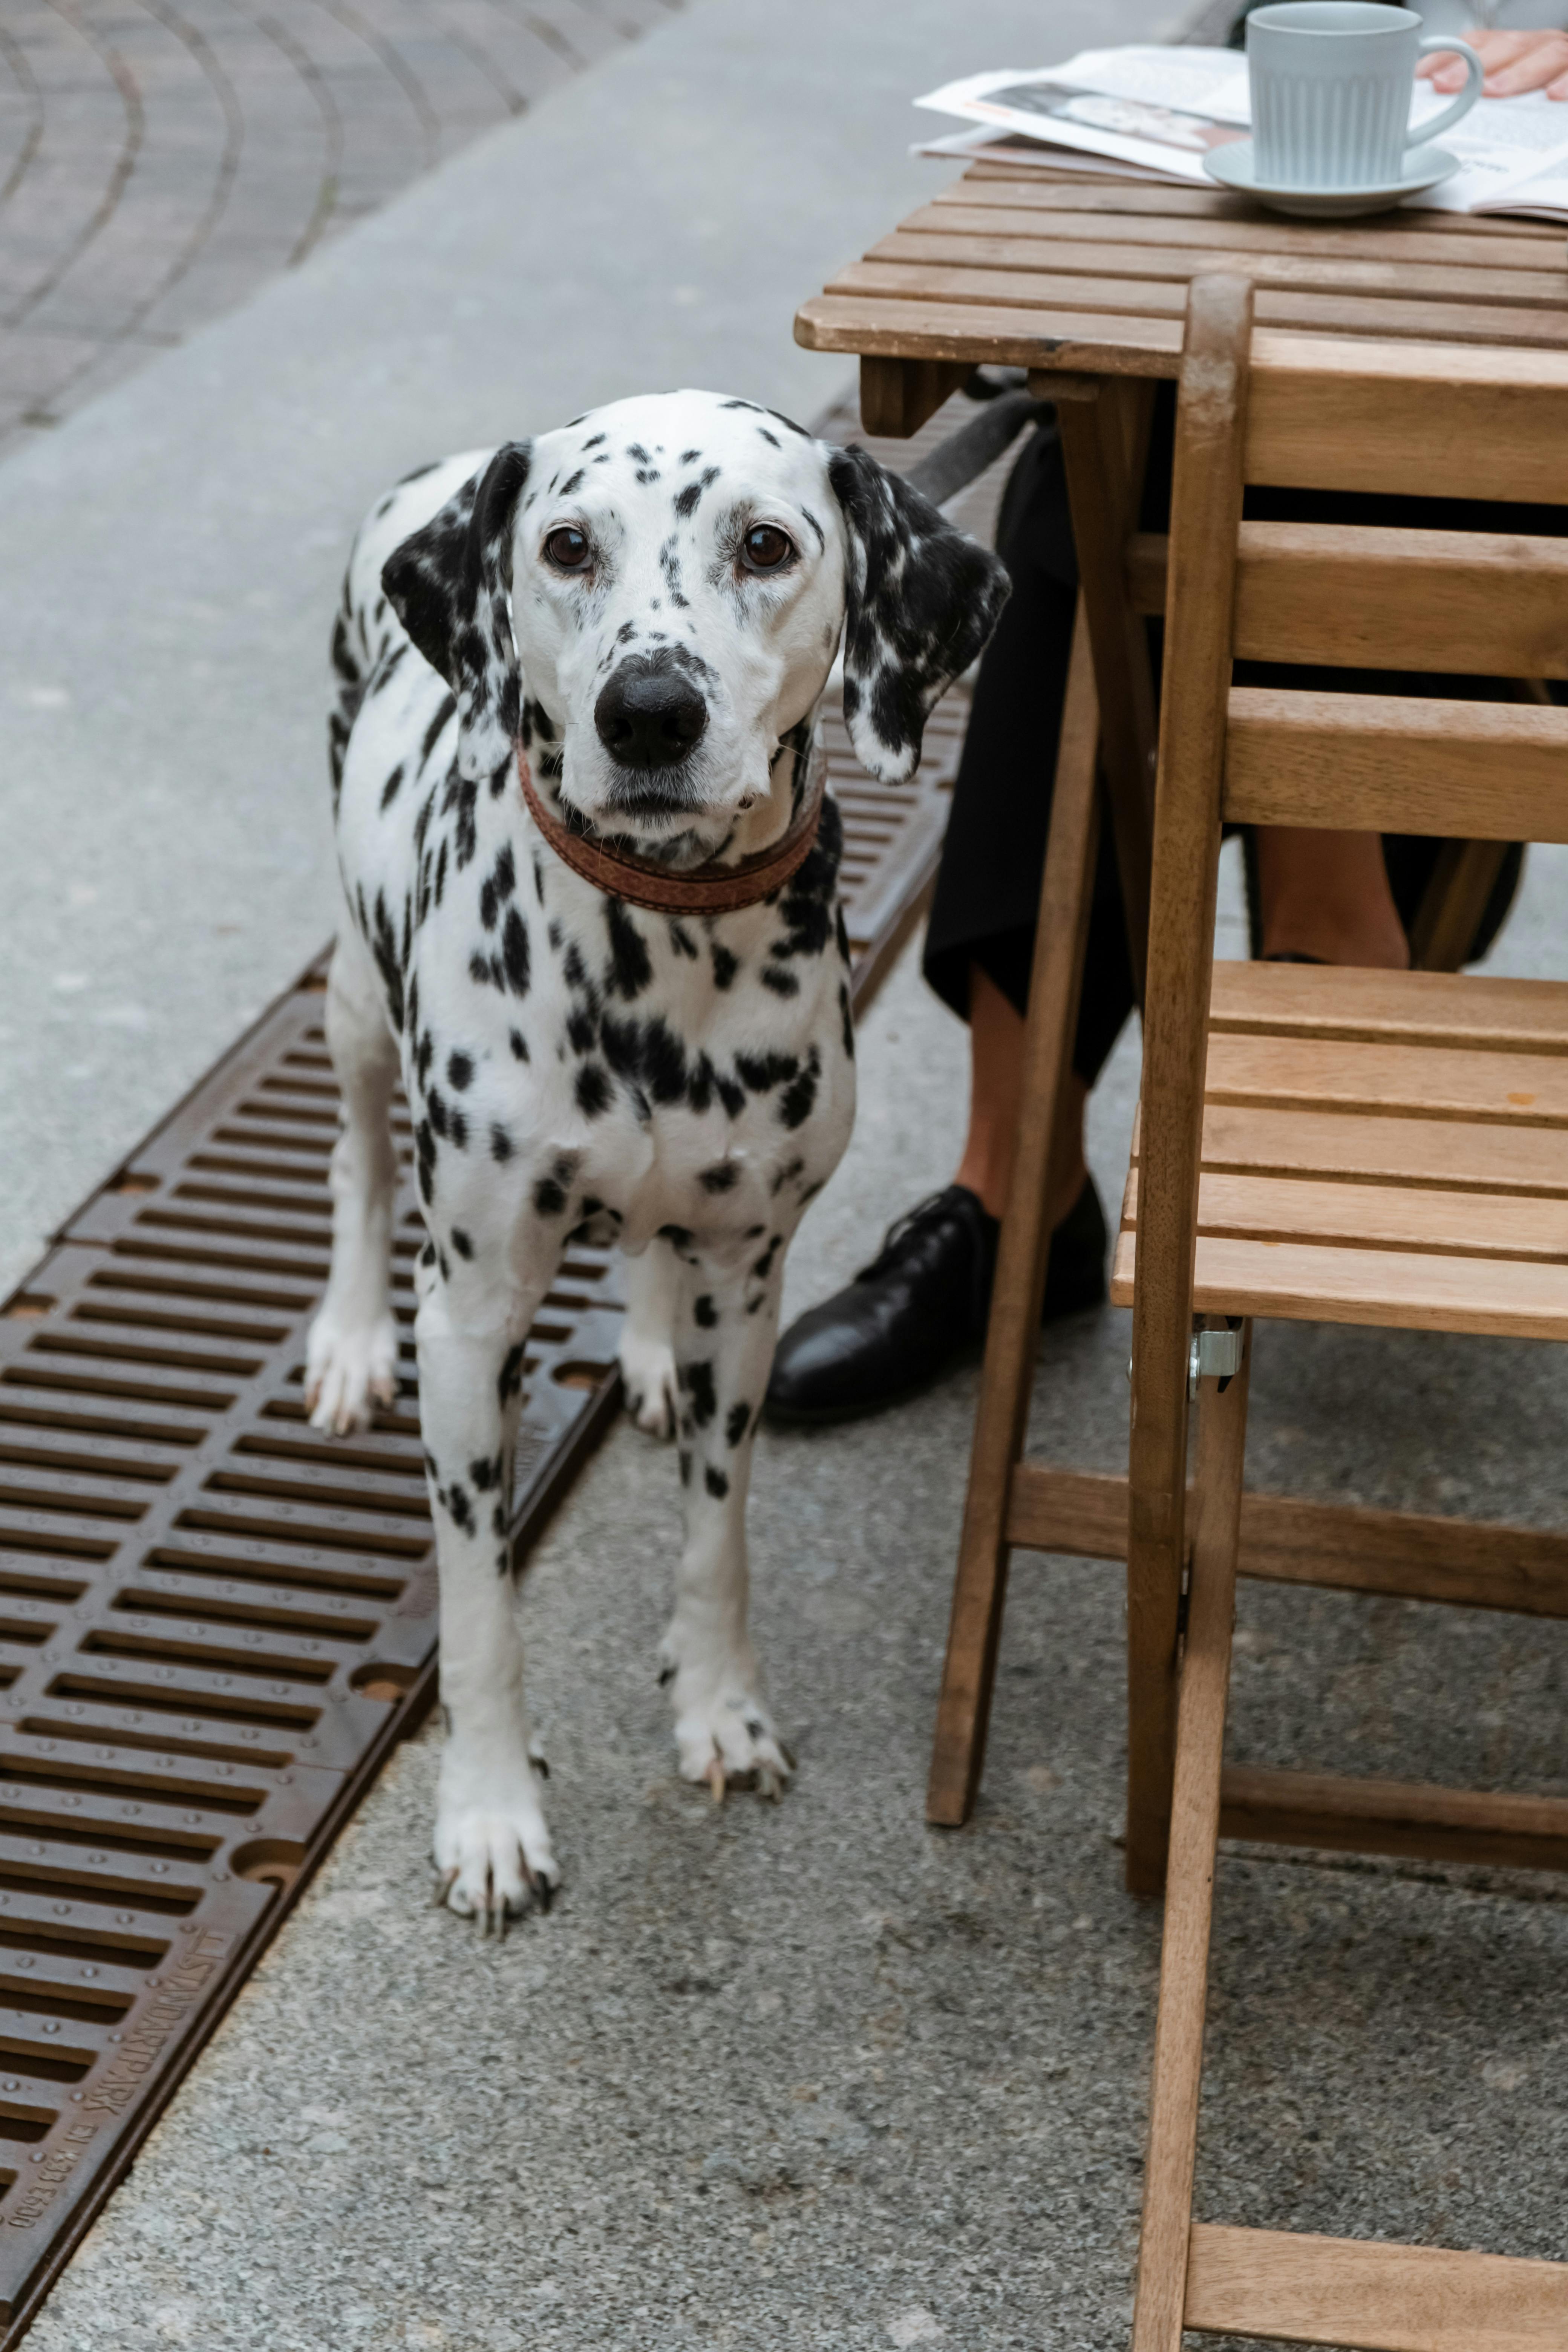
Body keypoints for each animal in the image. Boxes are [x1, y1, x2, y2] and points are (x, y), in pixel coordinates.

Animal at [310, 390, 1006, 1928]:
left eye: (767, 544)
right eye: (568, 545)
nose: (647, 713)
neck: (659, 950)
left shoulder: (748, 1288)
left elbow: (716, 1535)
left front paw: (720, 1711)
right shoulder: (474, 1321)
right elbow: (481, 1606)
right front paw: (489, 1813)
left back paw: (634, 1340)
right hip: (353, 999)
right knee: (356, 1161)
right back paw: (345, 1336)